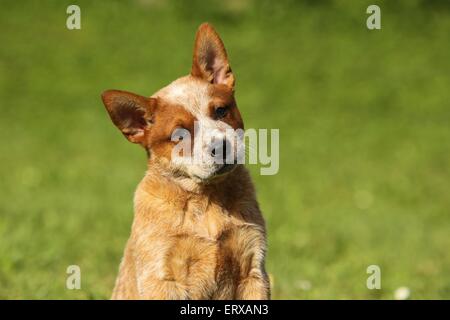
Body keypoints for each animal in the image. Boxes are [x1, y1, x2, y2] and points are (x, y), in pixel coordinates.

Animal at [101, 23, 268, 300]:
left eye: (221, 111)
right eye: (179, 135)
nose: (221, 146)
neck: (207, 199)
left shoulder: (253, 269)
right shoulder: (162, 277)